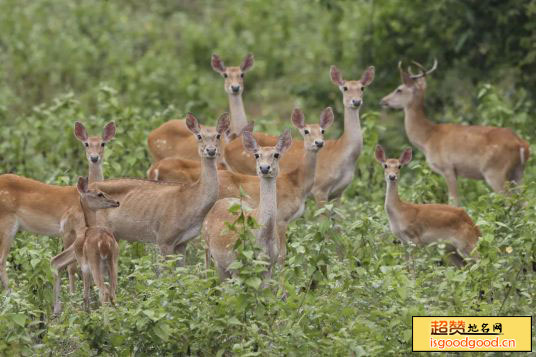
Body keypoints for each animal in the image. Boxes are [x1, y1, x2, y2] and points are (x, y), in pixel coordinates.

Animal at [50, 177, 120, 312]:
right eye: (99, 194)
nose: (117, 202)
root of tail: (105, 242)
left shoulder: (84, 267)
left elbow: (85, 295)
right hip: (112, 264)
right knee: (112, 293)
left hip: (95, 265)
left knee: (104, 292)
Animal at [147, 107, 330, 262]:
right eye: (306, 131)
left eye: (322, 131)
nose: (318, 143)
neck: (297, 183)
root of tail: (153, 170)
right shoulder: (282, 219)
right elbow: (282, 254)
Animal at [202, 129, 294, 280]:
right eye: (257, 155)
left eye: (276, 154)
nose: (264, 168)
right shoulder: (236, 264)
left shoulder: (269, 265)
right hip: (211, 251)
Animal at [221, 64, 372, 203]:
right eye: (345, 88)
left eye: (362, 88)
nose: (356, 101)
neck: (344, 154)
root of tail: (227, 146)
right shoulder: (320, 189)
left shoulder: (338, 193)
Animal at [378, 59, 528, 204]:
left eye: (399, 89)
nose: (383, 100)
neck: (428, 137)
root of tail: (521, 144)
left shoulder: (448, 168)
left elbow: (453, 200)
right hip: (518, 172)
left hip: (495, 171)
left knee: (510, 200)